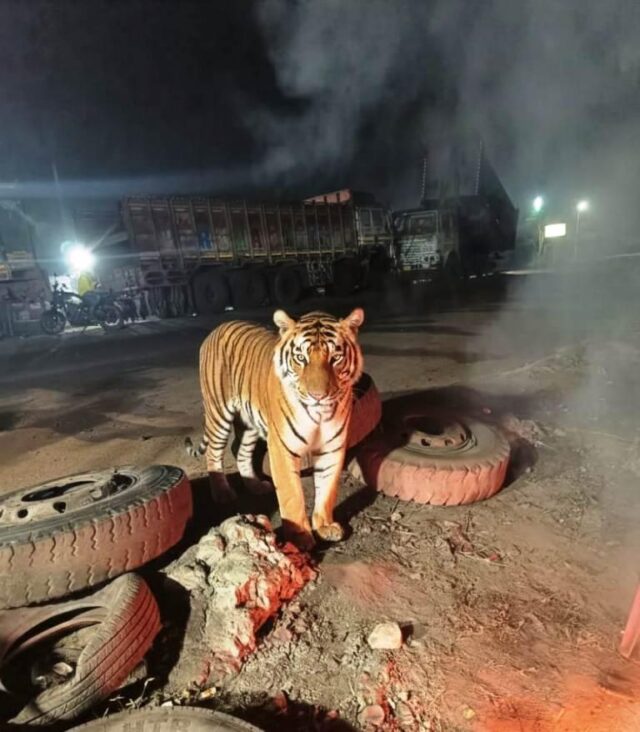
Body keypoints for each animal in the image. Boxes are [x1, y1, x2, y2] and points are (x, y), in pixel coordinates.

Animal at [187, 308, 365, 550]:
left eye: (335, 358)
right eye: (301, 358)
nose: (318, 396)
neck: (319, 415)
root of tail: (218, 327)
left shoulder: (332, 448)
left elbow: (327, 489)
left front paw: (325, 525)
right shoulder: (282, 448)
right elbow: (291, 495)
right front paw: (300, 536)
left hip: (250, 423)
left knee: (240, 450)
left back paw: (255, 485)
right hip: (218, 412)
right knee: (214, 454)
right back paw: (223, 493)